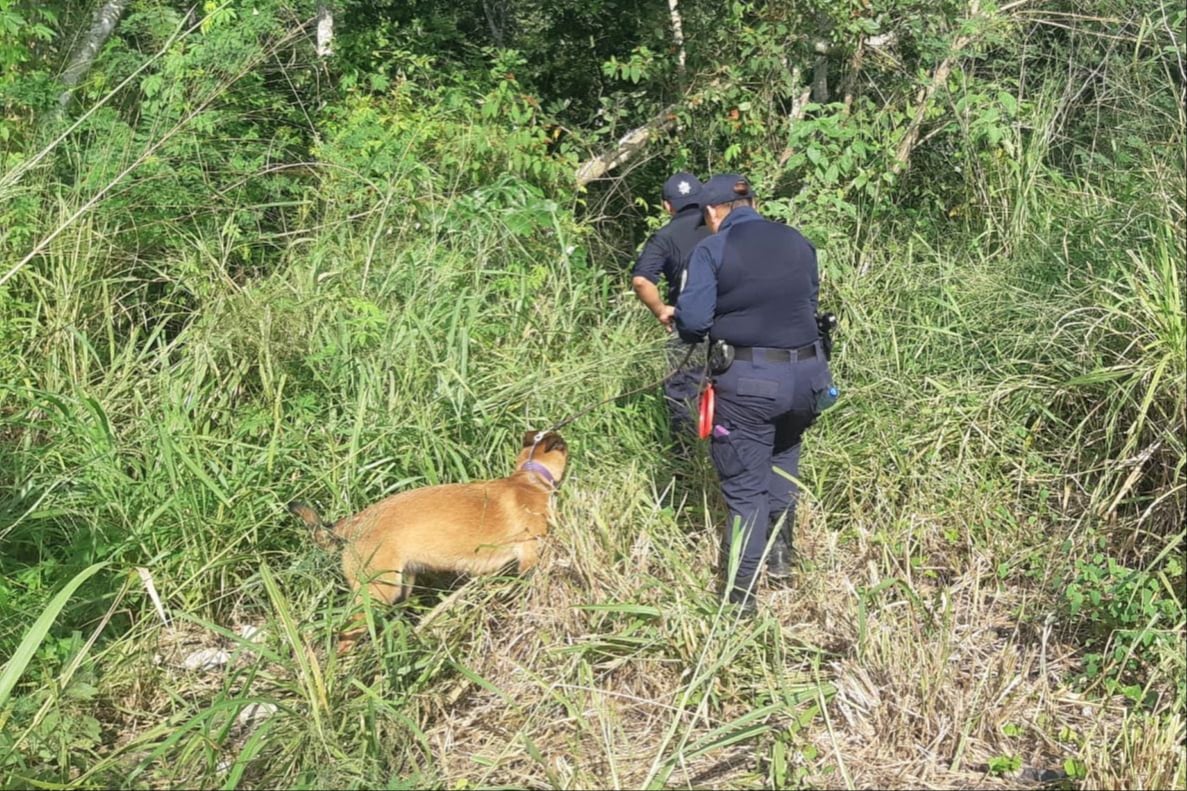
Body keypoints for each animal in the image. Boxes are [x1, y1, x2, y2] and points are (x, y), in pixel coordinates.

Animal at [287, 427, 565, 650]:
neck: (529, 478)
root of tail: (354, 523)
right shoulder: (530, 557)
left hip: (402, 584)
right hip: (378, 593)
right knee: (346, 635)